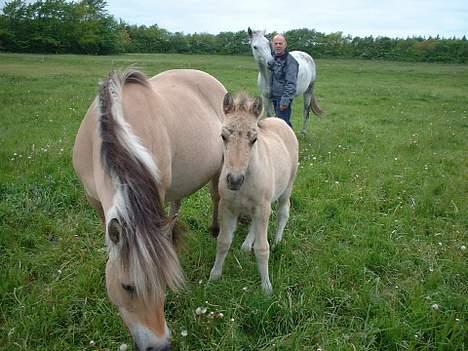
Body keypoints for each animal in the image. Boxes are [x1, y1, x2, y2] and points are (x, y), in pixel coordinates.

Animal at [72, 69, 227, 351]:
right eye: (127, 287)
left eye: (164, 283)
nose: (160, 346)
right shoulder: (95, 201)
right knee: (176, 206)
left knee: (216, 197)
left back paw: (214, 228)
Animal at [209, 93, 298, 294]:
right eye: (223, 136)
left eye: (254, 139)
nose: (234, 180)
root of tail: (279, 120)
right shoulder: (227, 207)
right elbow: (223, 242)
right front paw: (214, 276)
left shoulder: (262, 207)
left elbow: (262, 249)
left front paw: (266, 287)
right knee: (254, 224)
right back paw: (246, 245)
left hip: (286, 188)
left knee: (283, 212)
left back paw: (278, 241)